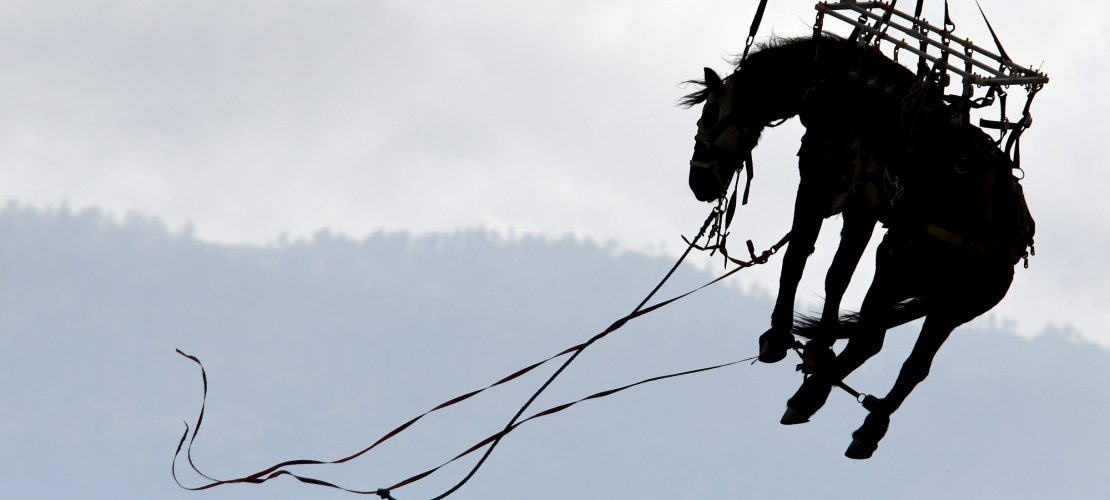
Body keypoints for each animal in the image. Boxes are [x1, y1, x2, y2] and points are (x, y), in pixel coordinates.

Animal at [681, 35, 1035, 457]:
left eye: (709, 113)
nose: (698, 182)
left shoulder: (821, 181)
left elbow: (799, 258)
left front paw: (780, 337)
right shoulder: (859, 204)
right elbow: (836, 273)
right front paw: (819, 345)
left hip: (899, 263)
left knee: (870, 338)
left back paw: (810, 396)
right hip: (951, 303)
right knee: (913, 364)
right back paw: (868, 422)